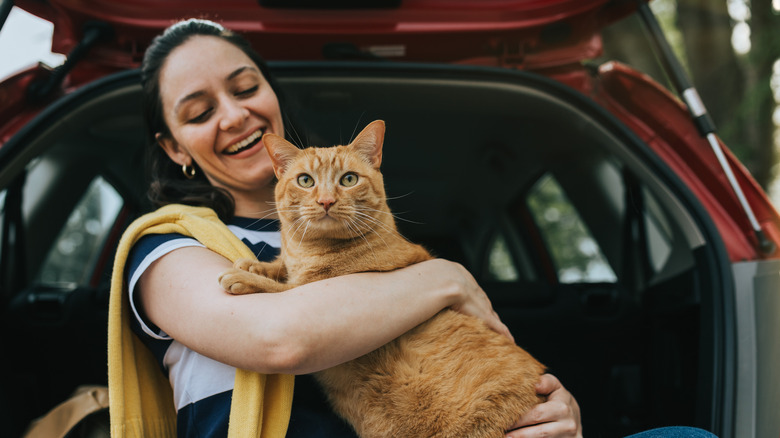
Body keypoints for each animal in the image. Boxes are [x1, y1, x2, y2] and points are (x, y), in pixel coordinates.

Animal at [219, 120, 544, 438]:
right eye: (306, 181)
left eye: (349, 179)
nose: (326, 201)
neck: (307, 250)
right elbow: (280, 267)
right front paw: (256, 264)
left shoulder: (322, 288)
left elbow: (283, 289)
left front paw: (243, 276)